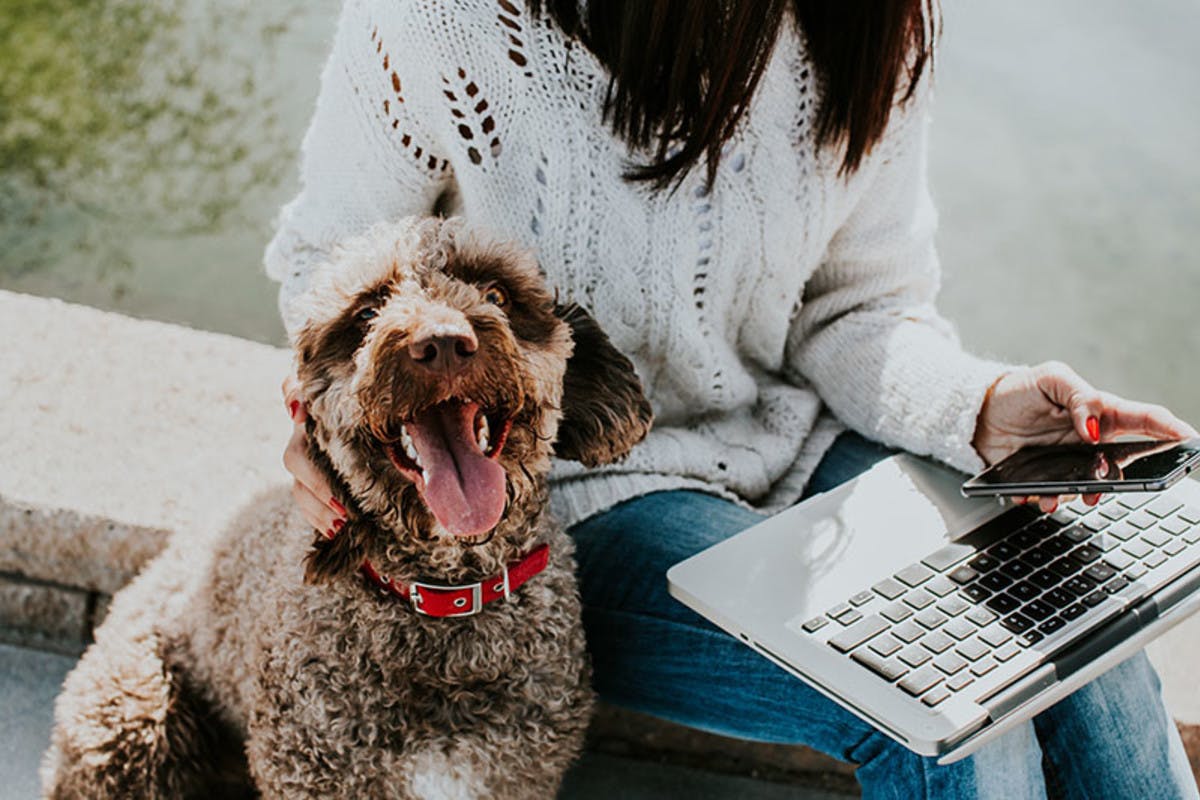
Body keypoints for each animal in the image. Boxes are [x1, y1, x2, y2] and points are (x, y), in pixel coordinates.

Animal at [42, 217, 652, 800]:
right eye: (365, 313)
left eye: (497, 293)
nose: (443, 343)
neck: (445, 601)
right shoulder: (313, 774)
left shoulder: (516, 775)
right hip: (127, 726)